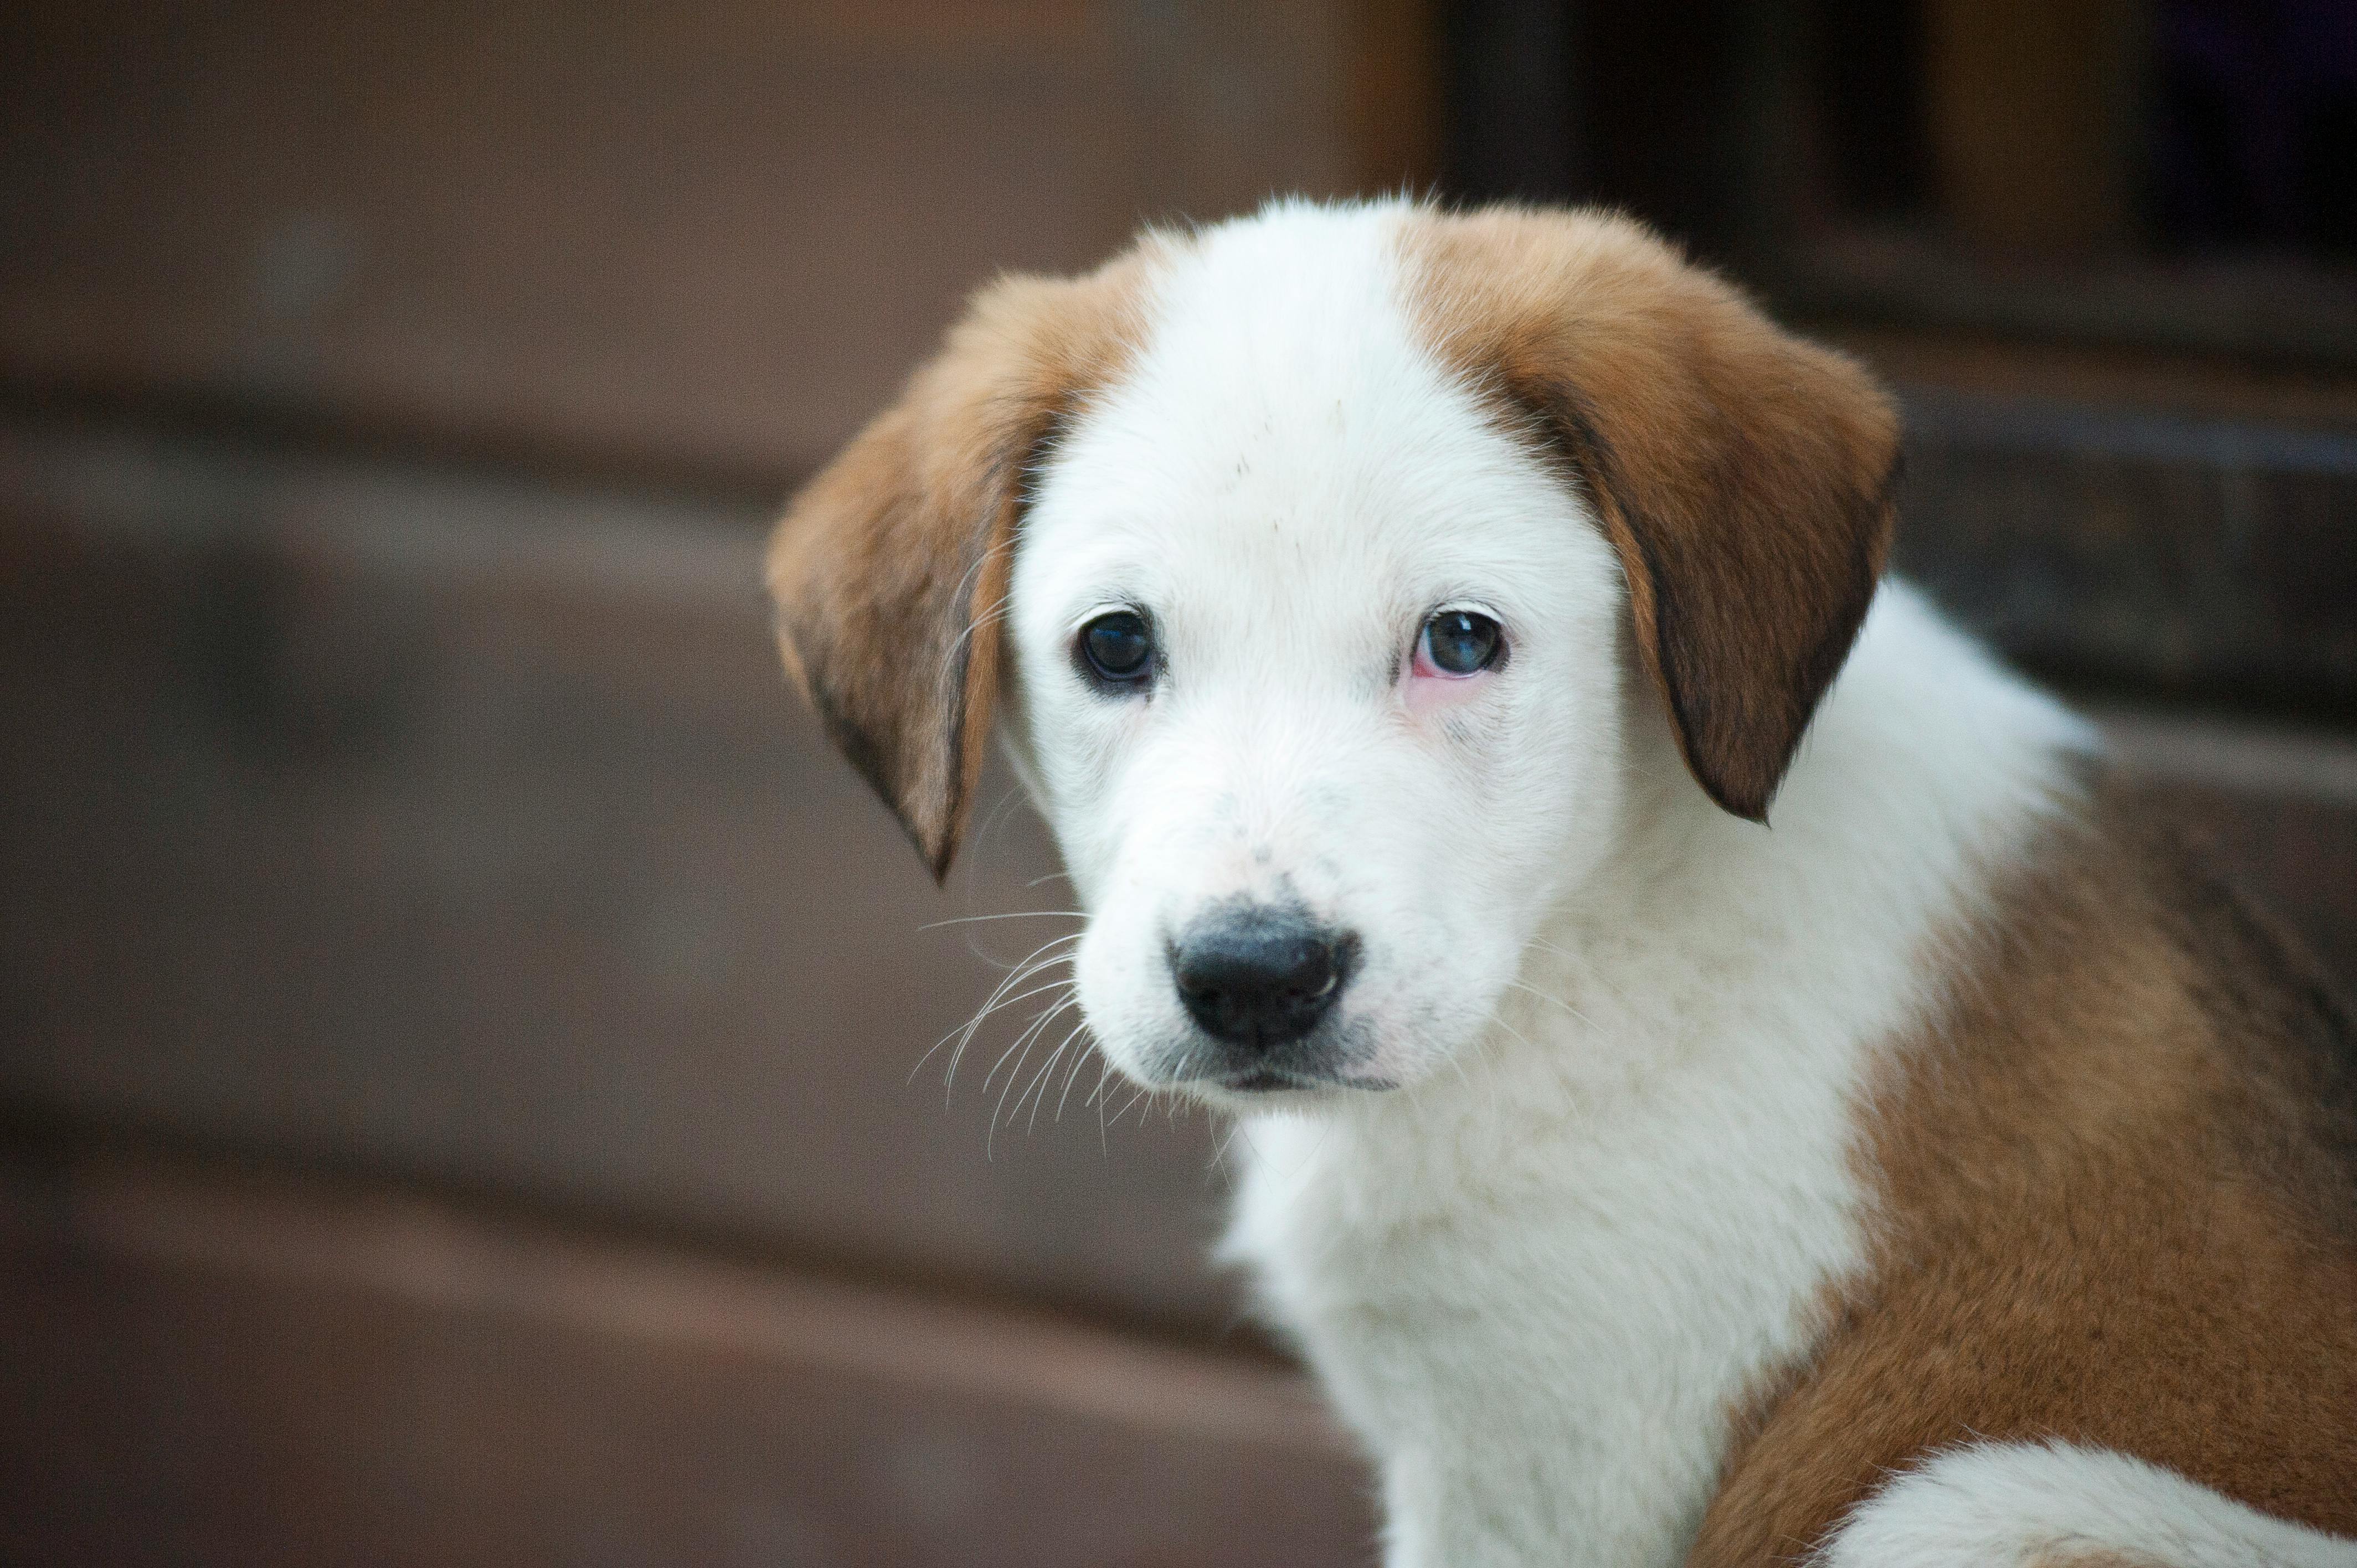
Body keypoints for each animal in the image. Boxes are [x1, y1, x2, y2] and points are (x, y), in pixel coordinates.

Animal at [768, 202, 2357, 1556]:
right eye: (1113, 646)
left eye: (1461, 641)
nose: (1257, 980)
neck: (1591, 934)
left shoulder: (1546, 1467)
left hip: (1979, 1498)